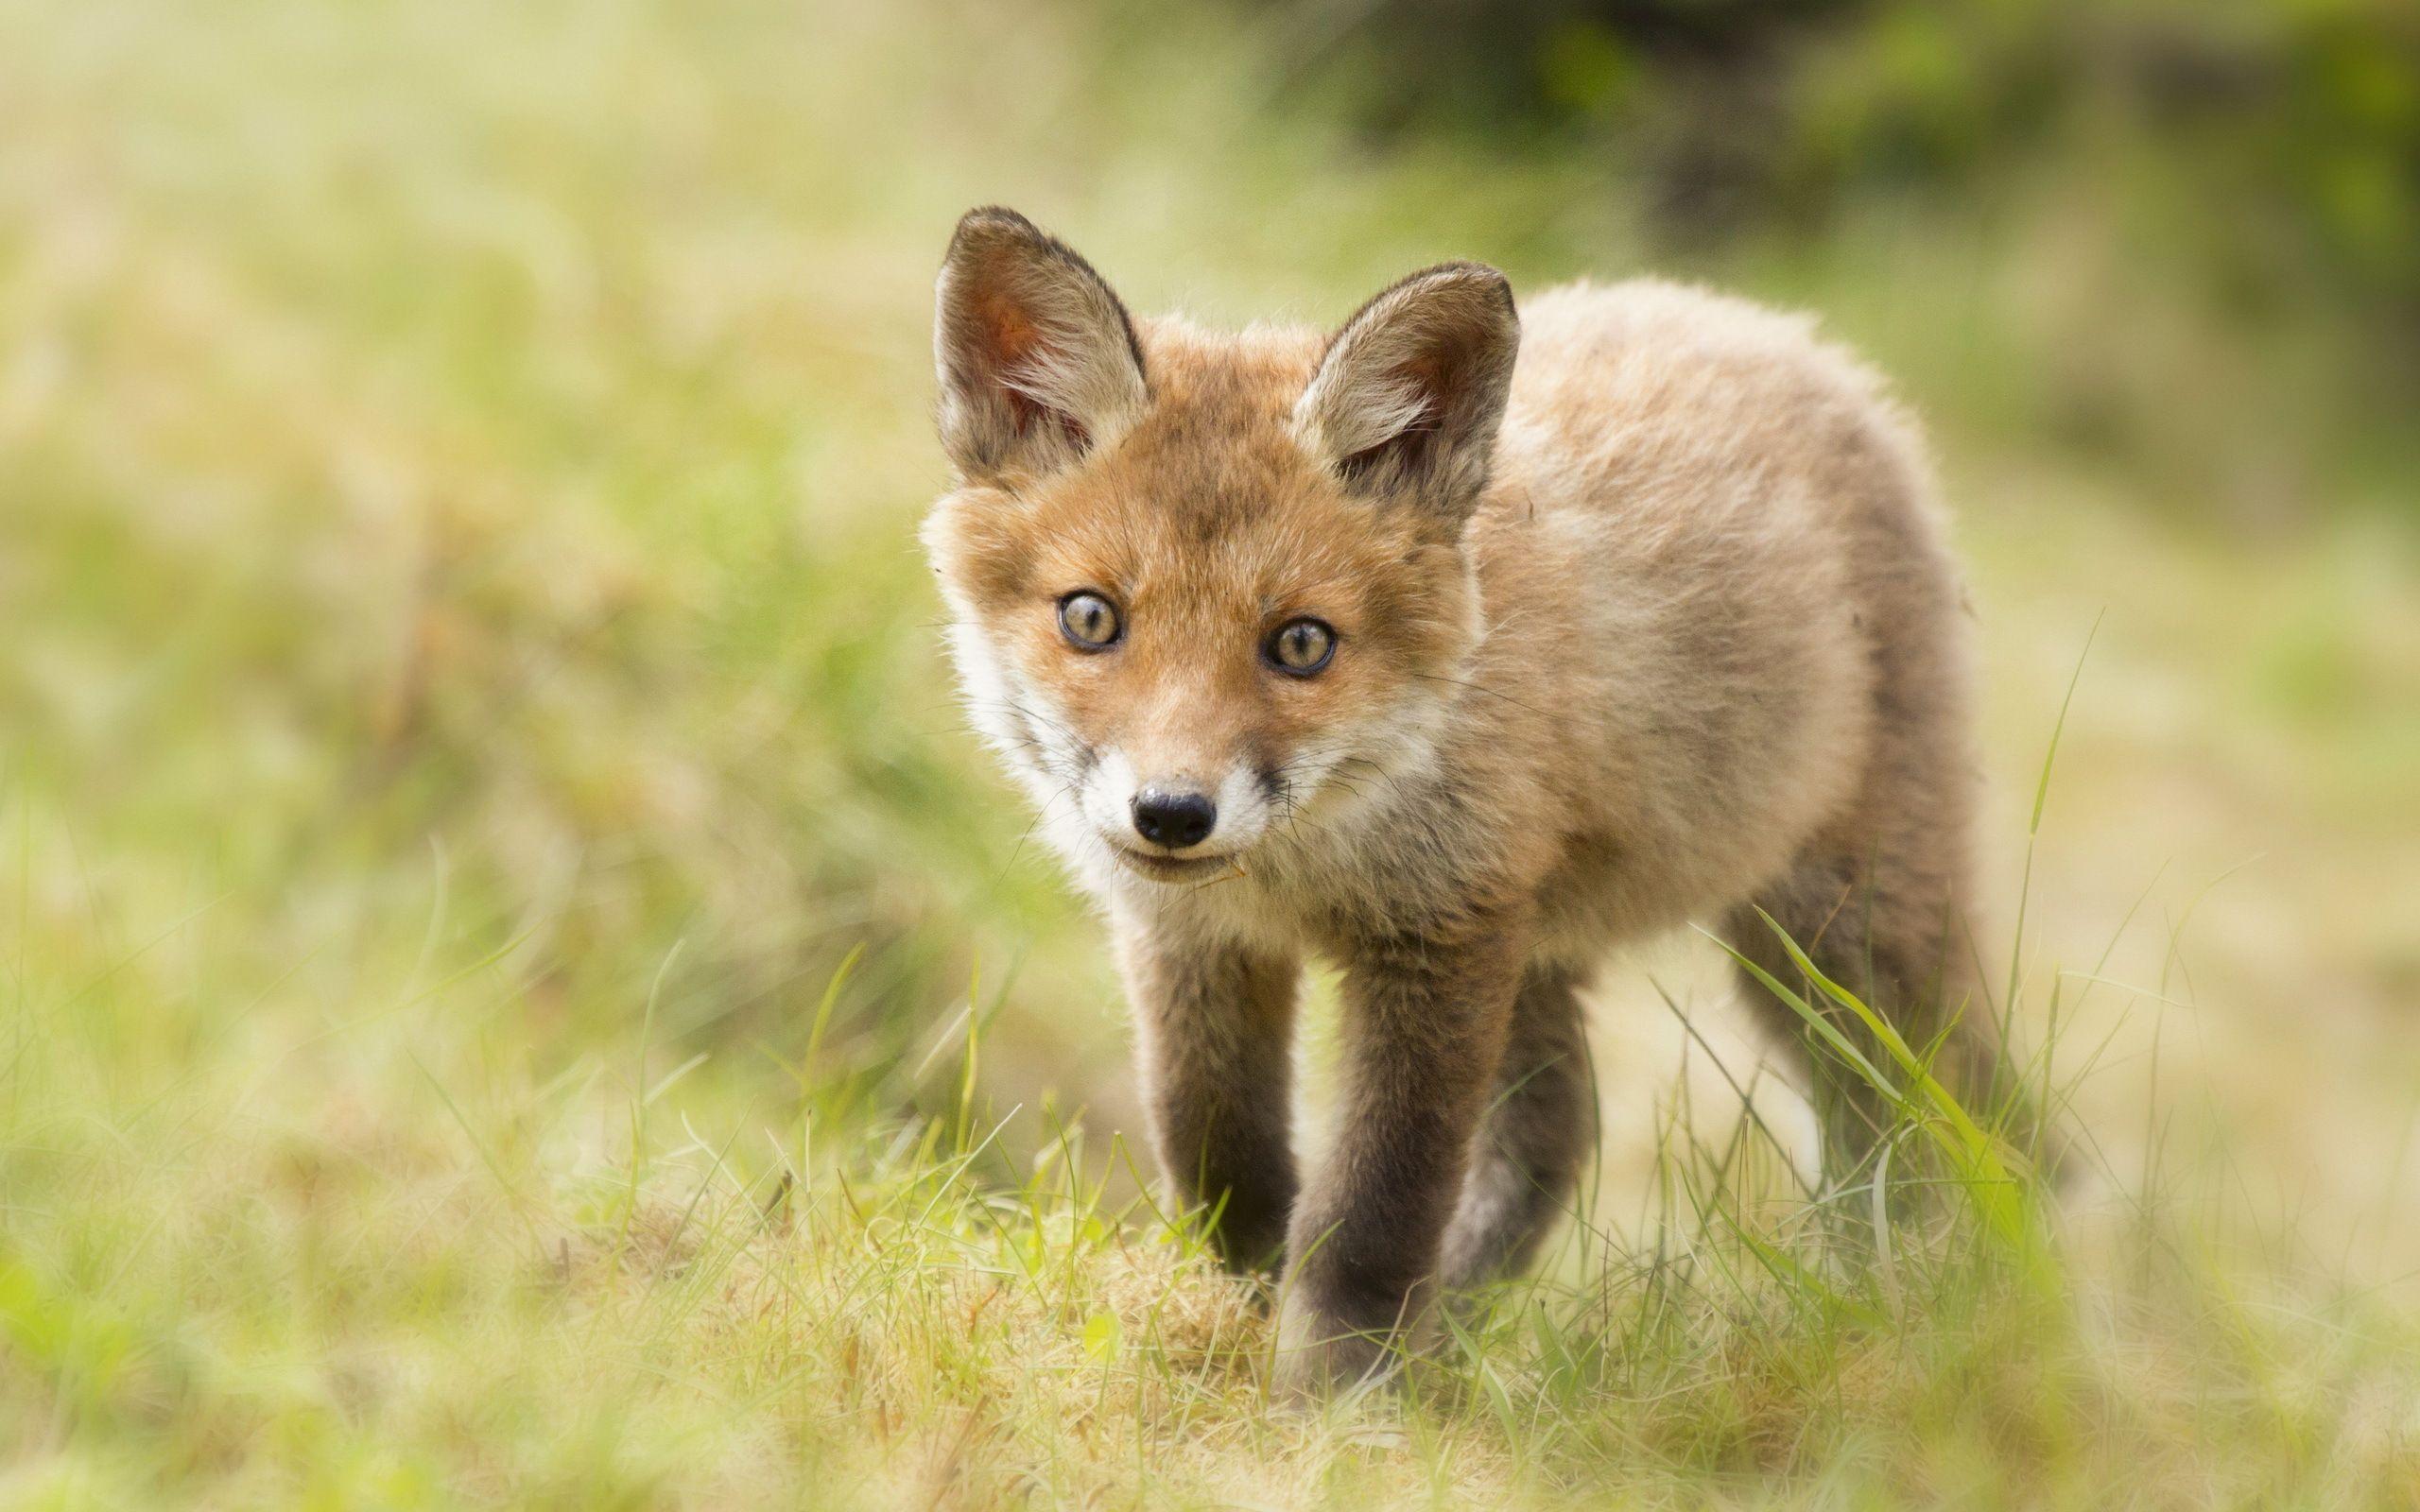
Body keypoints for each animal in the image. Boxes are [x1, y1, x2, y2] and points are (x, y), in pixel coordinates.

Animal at [921, 206, 2051, 1393]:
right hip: (1556, 946)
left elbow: (1376, 1203)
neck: (1309, 864)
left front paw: (1341, 1393)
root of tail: (1777, 330)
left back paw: (1933, 1307)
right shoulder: (1197, 938)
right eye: (1091, 618)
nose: (1173, 813)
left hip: (1843, 941)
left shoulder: (1439, 934)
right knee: (1562, 1132)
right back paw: (1462, 1328)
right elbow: (1221, 1151)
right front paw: (1243, 1314)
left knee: (1944, 1119)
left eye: (1301, 644)